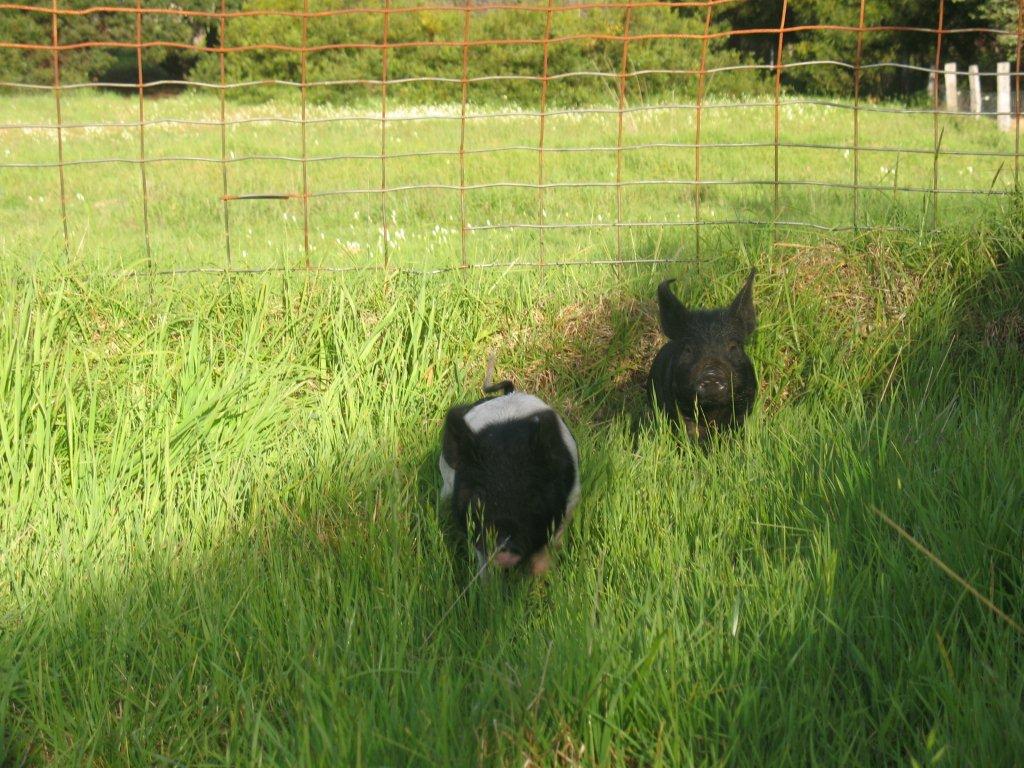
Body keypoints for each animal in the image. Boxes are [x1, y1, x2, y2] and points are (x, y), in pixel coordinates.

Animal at [439, 381, 580, 576]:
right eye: (478, 500)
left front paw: (539, 580)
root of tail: (510, 393)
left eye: (533, 498)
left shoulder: (571, 502)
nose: (504, 551)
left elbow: (545, 555)